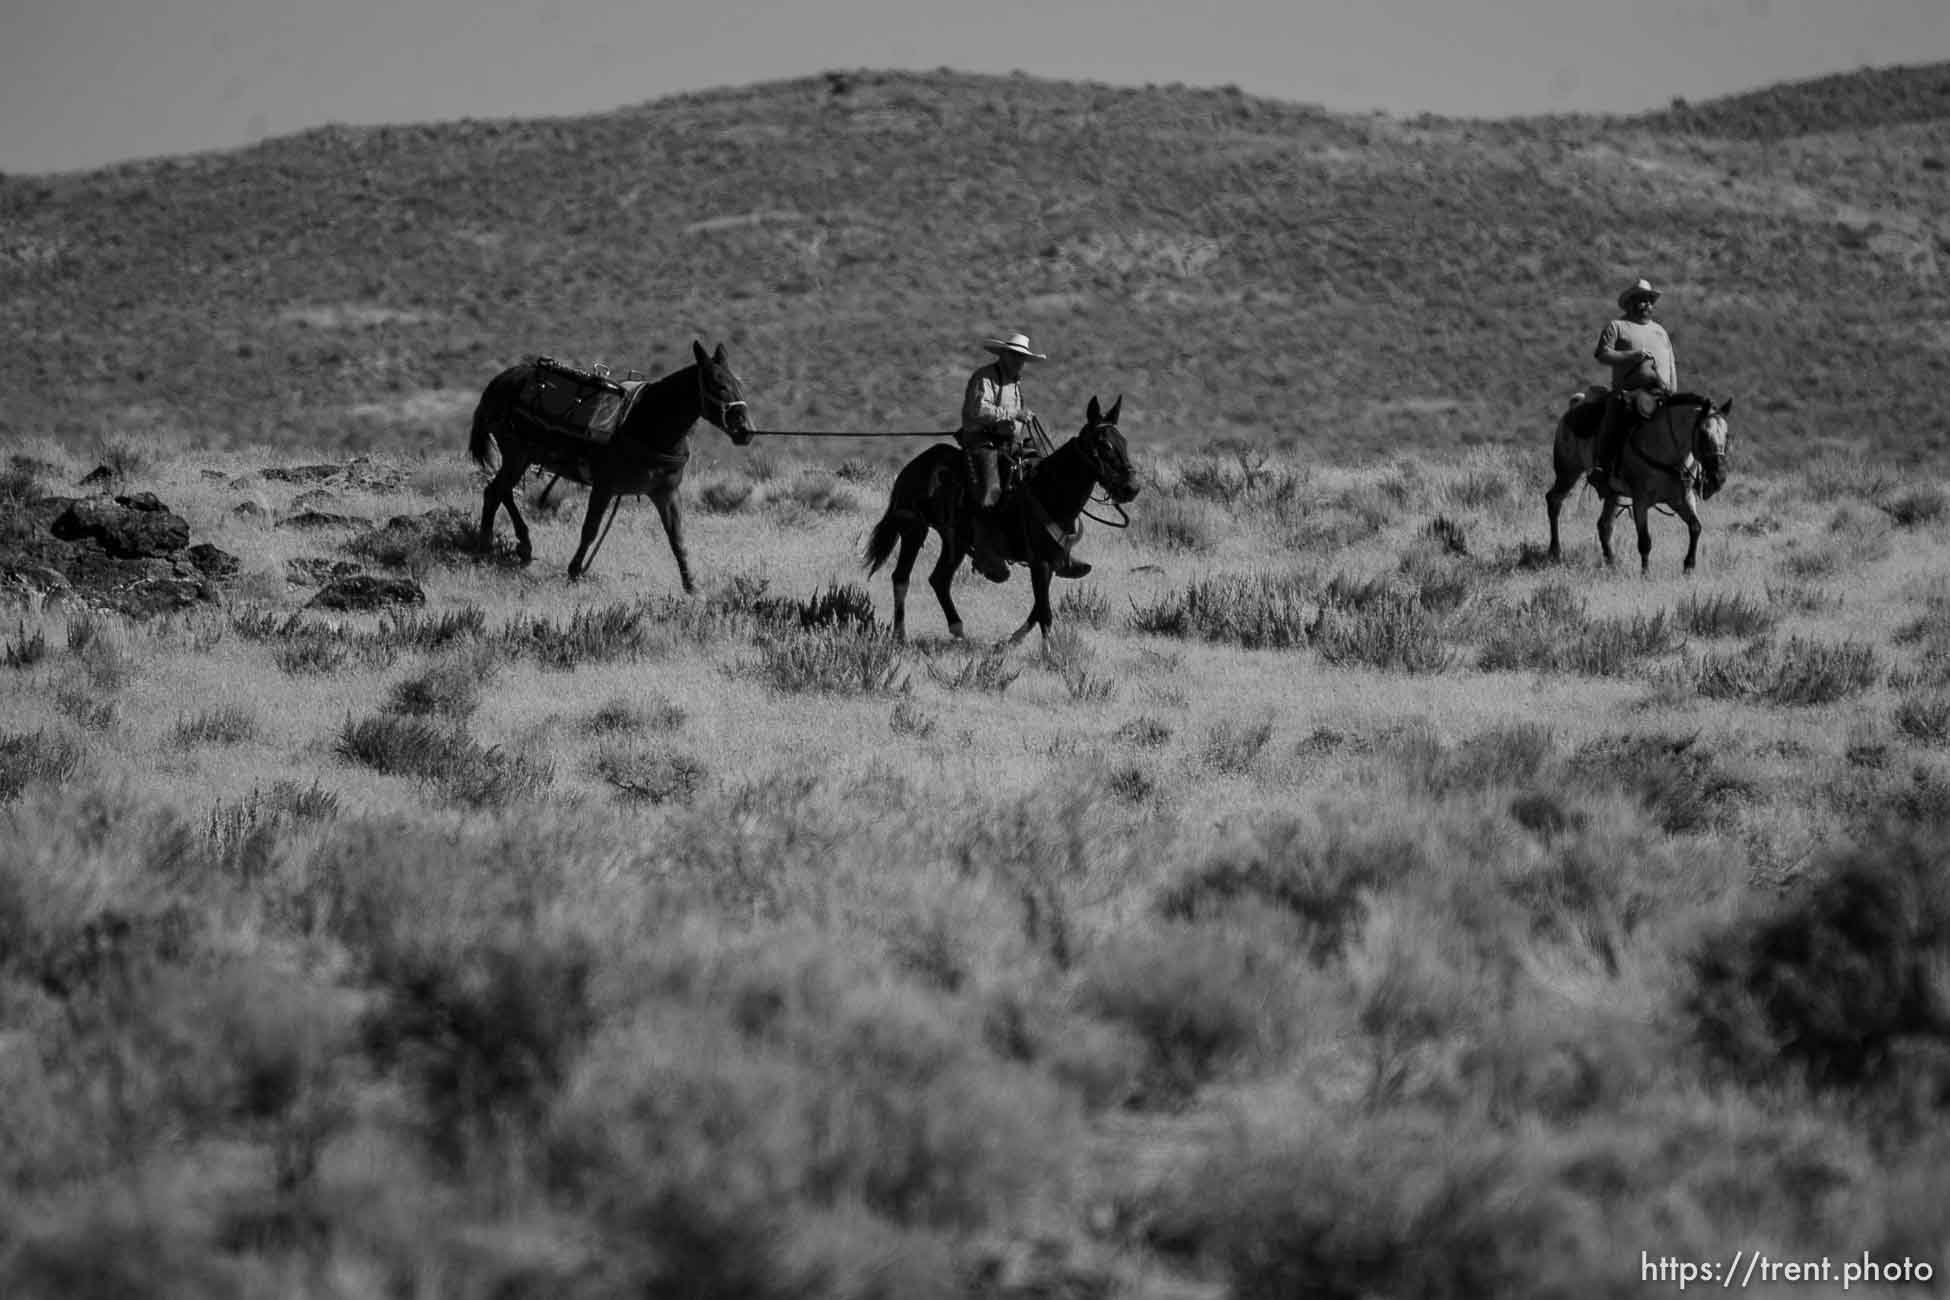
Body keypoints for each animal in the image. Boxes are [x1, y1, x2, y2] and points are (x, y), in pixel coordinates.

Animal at [468, 343, 756, 592]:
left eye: (739, 384)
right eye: (719, 385)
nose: (746, 430)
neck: (649, 422)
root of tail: (501, 380)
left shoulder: (666, 492)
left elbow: (677, 538)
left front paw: (691, 585)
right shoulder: (603, 487)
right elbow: (590, 529)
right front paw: (574, 571)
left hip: (520, 458)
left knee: (501, 491)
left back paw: (522, 546)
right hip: (517, 455)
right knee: (494, 493)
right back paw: (483, 549)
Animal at [869, 391, 1138, 647]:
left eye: (1124, 442)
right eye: (1105, 445)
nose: (1131, 488)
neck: (1049, 490)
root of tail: (913, 466)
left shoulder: (1052, 562)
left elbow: (1038, 608)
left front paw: (1011, 640)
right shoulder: (1040, 562)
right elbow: (1044, 611)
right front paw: (1049, 652)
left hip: (954, 541)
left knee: (939, 580)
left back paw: (958, 631)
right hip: (914, 531)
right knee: (901, 578)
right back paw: (900, 635)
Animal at [1552, 389, 1739, 576]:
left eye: (1727, 435)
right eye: (1703, 434)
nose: (1719, 478)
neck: (1665, 449)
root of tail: (1574, 406)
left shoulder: (1681, 499)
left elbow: (1695, 527)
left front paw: (1688, 566)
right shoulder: (1640, 501)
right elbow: (1645, 540)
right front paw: (1645, 573)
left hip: (1613, 493)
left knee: (1605, 525)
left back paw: (1612, 563)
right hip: (1569, 473)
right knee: (1554, 501)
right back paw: (1555, 552)